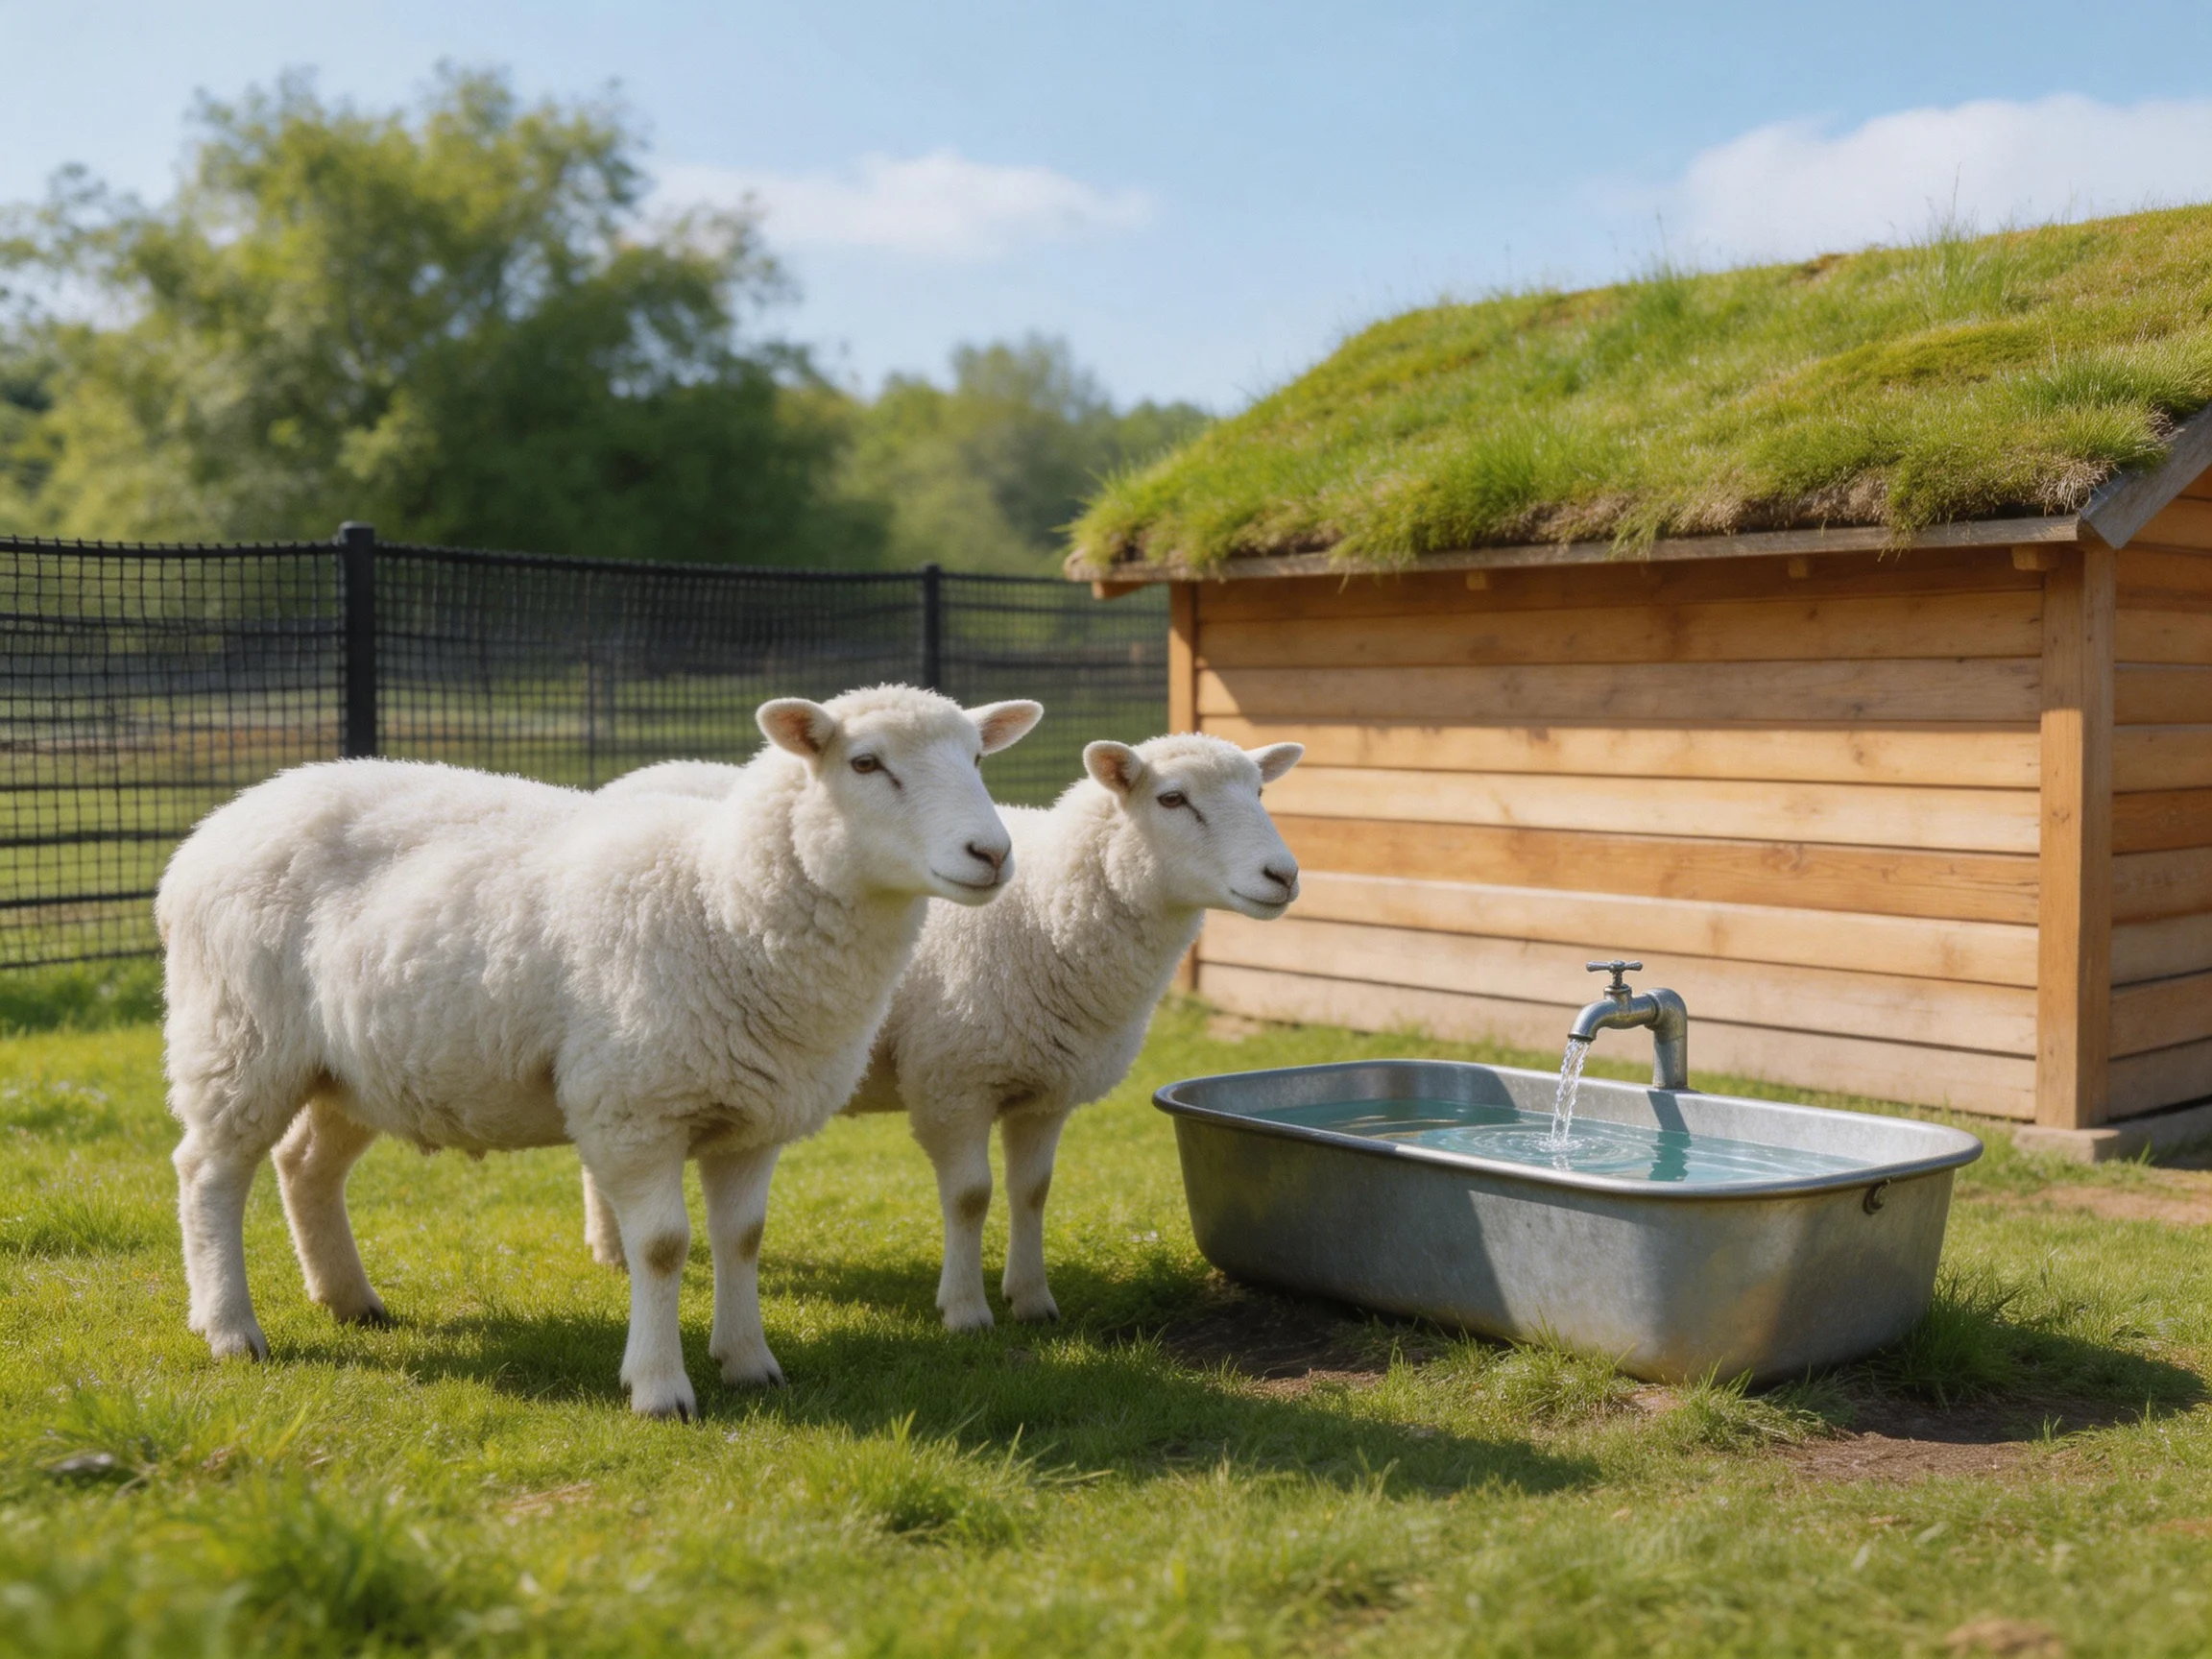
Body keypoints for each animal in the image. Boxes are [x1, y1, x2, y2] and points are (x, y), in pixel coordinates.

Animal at [156, 685, 1042, 1418]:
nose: (993, 854)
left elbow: (742, 1239)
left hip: (352, 1065)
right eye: (865, 762)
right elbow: (662, 1247)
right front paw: (658, 1387)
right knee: (209, 1174)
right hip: (238, 1039)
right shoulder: (634, 1106)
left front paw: (750, 1362)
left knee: (306, 1165)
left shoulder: (756, 1112)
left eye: (976, 758)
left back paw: (349, 1300)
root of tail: (216, 824)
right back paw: (231, 1328)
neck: (719, 897)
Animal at [590, 732, 1302, 1330]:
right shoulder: (953, 1080)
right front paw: (965, 1310)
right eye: (1172, 798)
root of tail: (633, 777)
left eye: (1261, 792)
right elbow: (969, 1197)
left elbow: (1032, 1192)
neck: (1045, 909)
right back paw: (614, 1251)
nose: (1284, 875)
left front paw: (1032, 1299)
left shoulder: (1047, 1088)